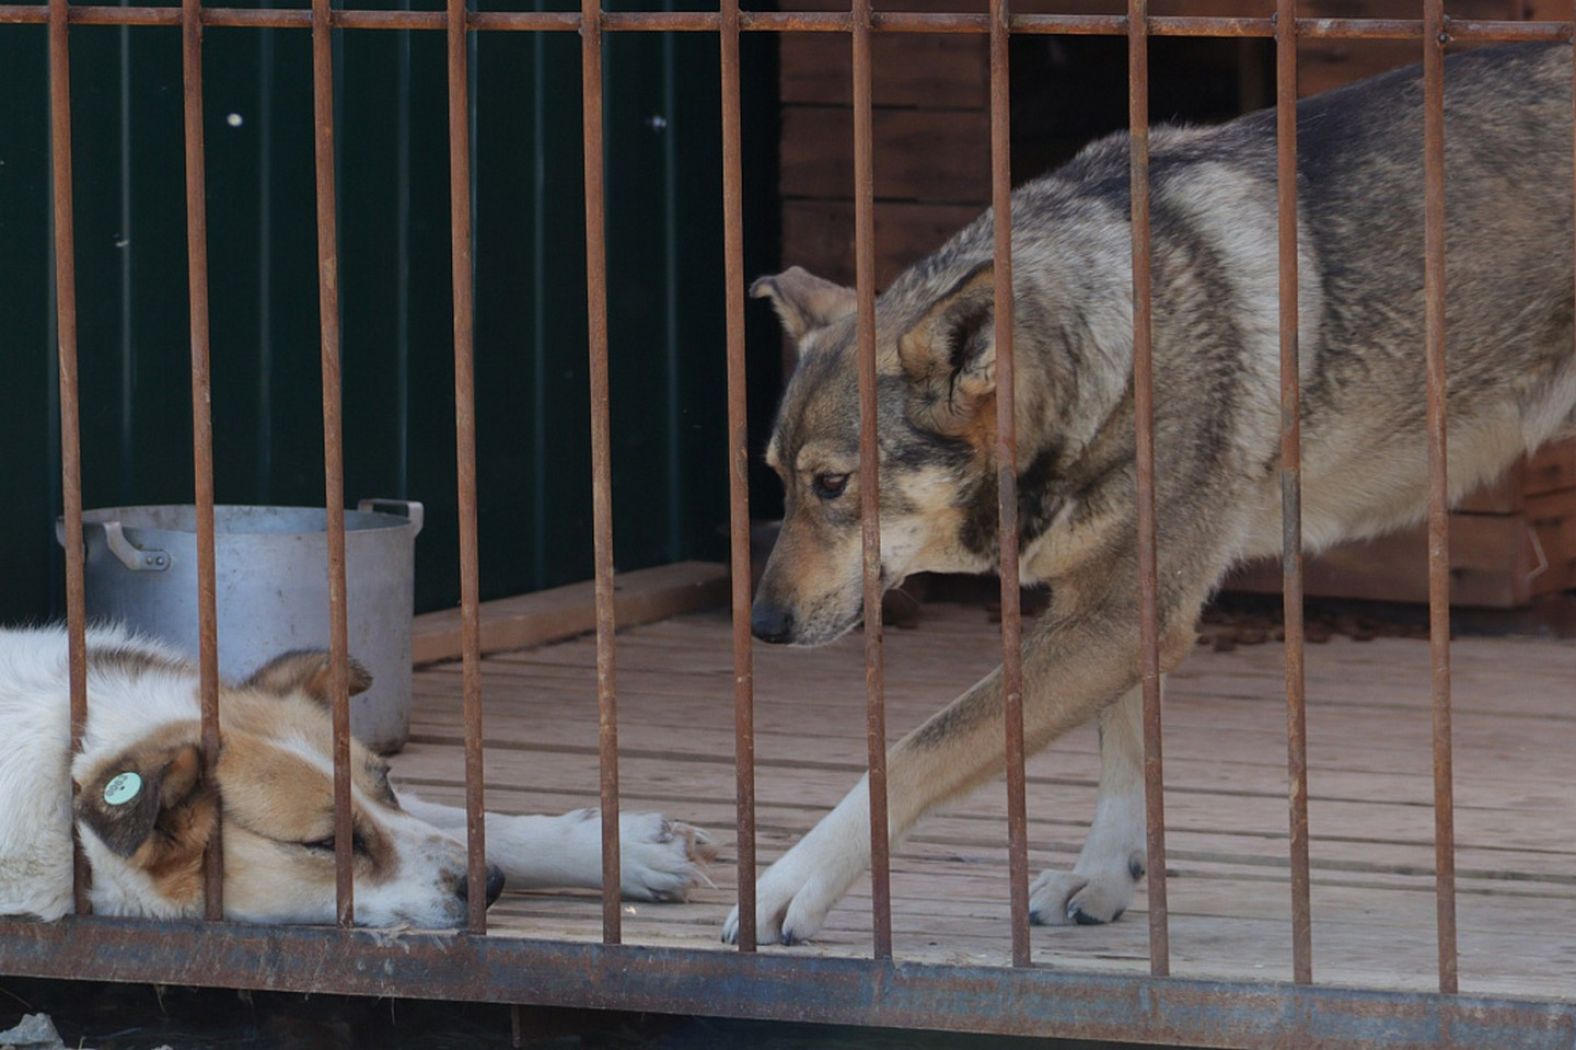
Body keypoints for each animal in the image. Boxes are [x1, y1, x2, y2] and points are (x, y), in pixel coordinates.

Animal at [721, 40, 1563, 945]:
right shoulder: (1109, 612)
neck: (1111, 359)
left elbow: (913, 750)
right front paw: (1102, 878)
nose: (761, 627)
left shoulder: (1122, 618)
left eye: (833, 484)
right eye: (778, 482)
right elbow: (1127, 754)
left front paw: (787, 883)